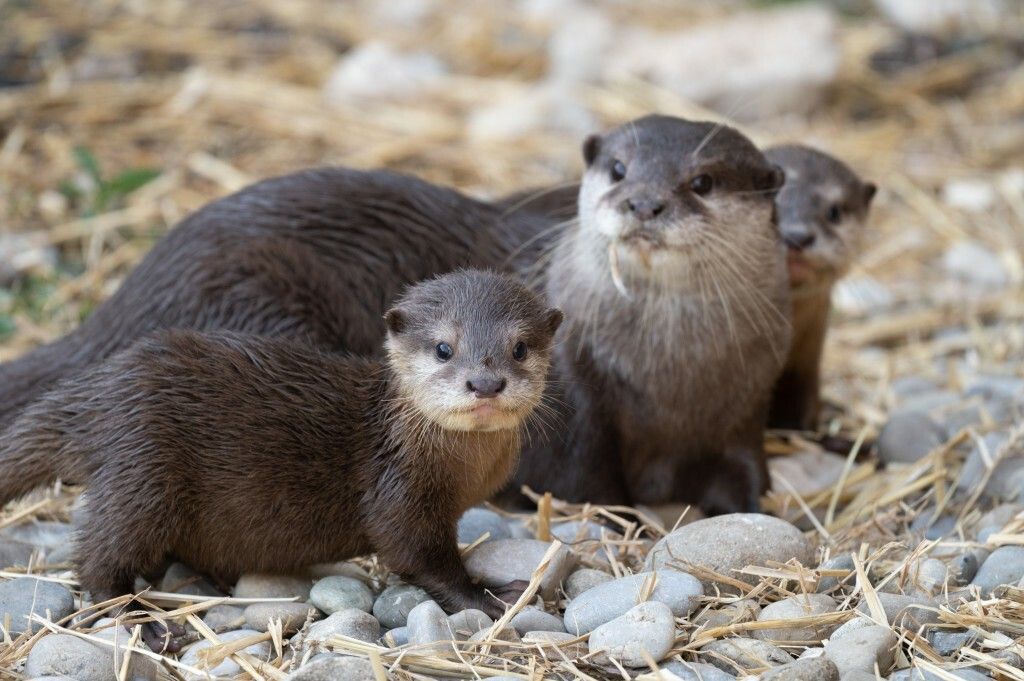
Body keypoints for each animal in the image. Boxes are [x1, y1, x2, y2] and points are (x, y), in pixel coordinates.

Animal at [0, 115, 787, 513]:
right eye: (618, 169)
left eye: (703, 181)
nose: (643, 202)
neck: (672, 375)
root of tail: (128, 296)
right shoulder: (577, 403)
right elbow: (583, 484)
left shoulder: (745, 403)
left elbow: (750, 483)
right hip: (252, 292)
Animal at [0, 270, 562, 651]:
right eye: (444, 348)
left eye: (520, 347)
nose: (485, 382)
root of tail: (97, 391)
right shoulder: (398, 490)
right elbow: (417, 556)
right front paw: (492, 596)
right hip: (142, 470)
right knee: (98, 562)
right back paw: (151, 622)